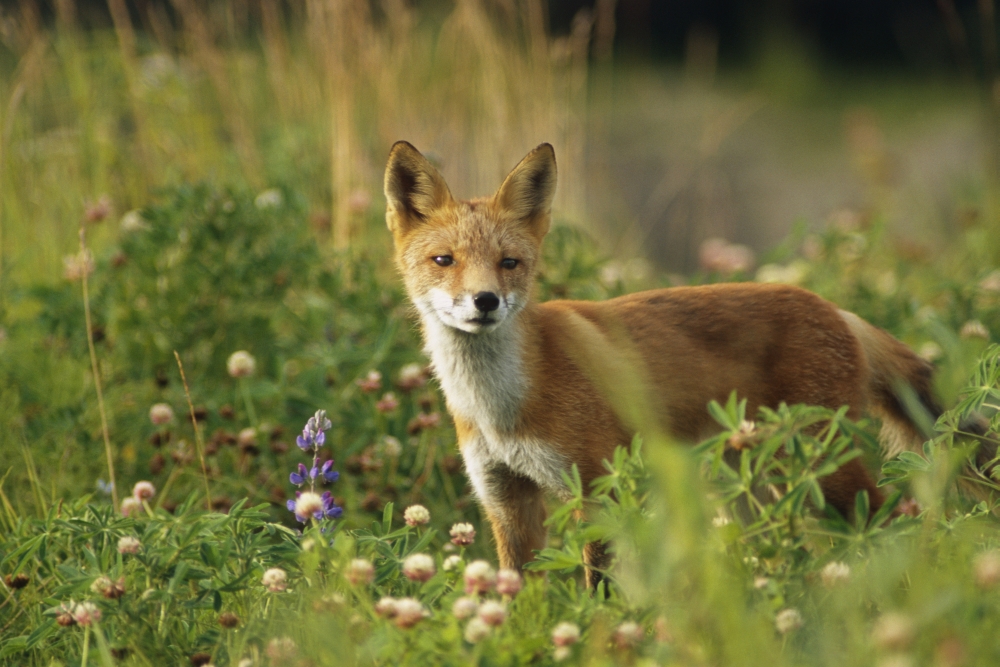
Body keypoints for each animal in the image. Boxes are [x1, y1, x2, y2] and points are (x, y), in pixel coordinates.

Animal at [383, 140, 993, 585]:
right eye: (444, 260)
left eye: (509, 263)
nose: (485, 301)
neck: (500, 409)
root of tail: (833, 306)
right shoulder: (507, 503)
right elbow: (519, 600)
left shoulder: (597, 489)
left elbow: (598, 589)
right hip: (752, 484)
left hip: (824, 466)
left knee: (890, 524)